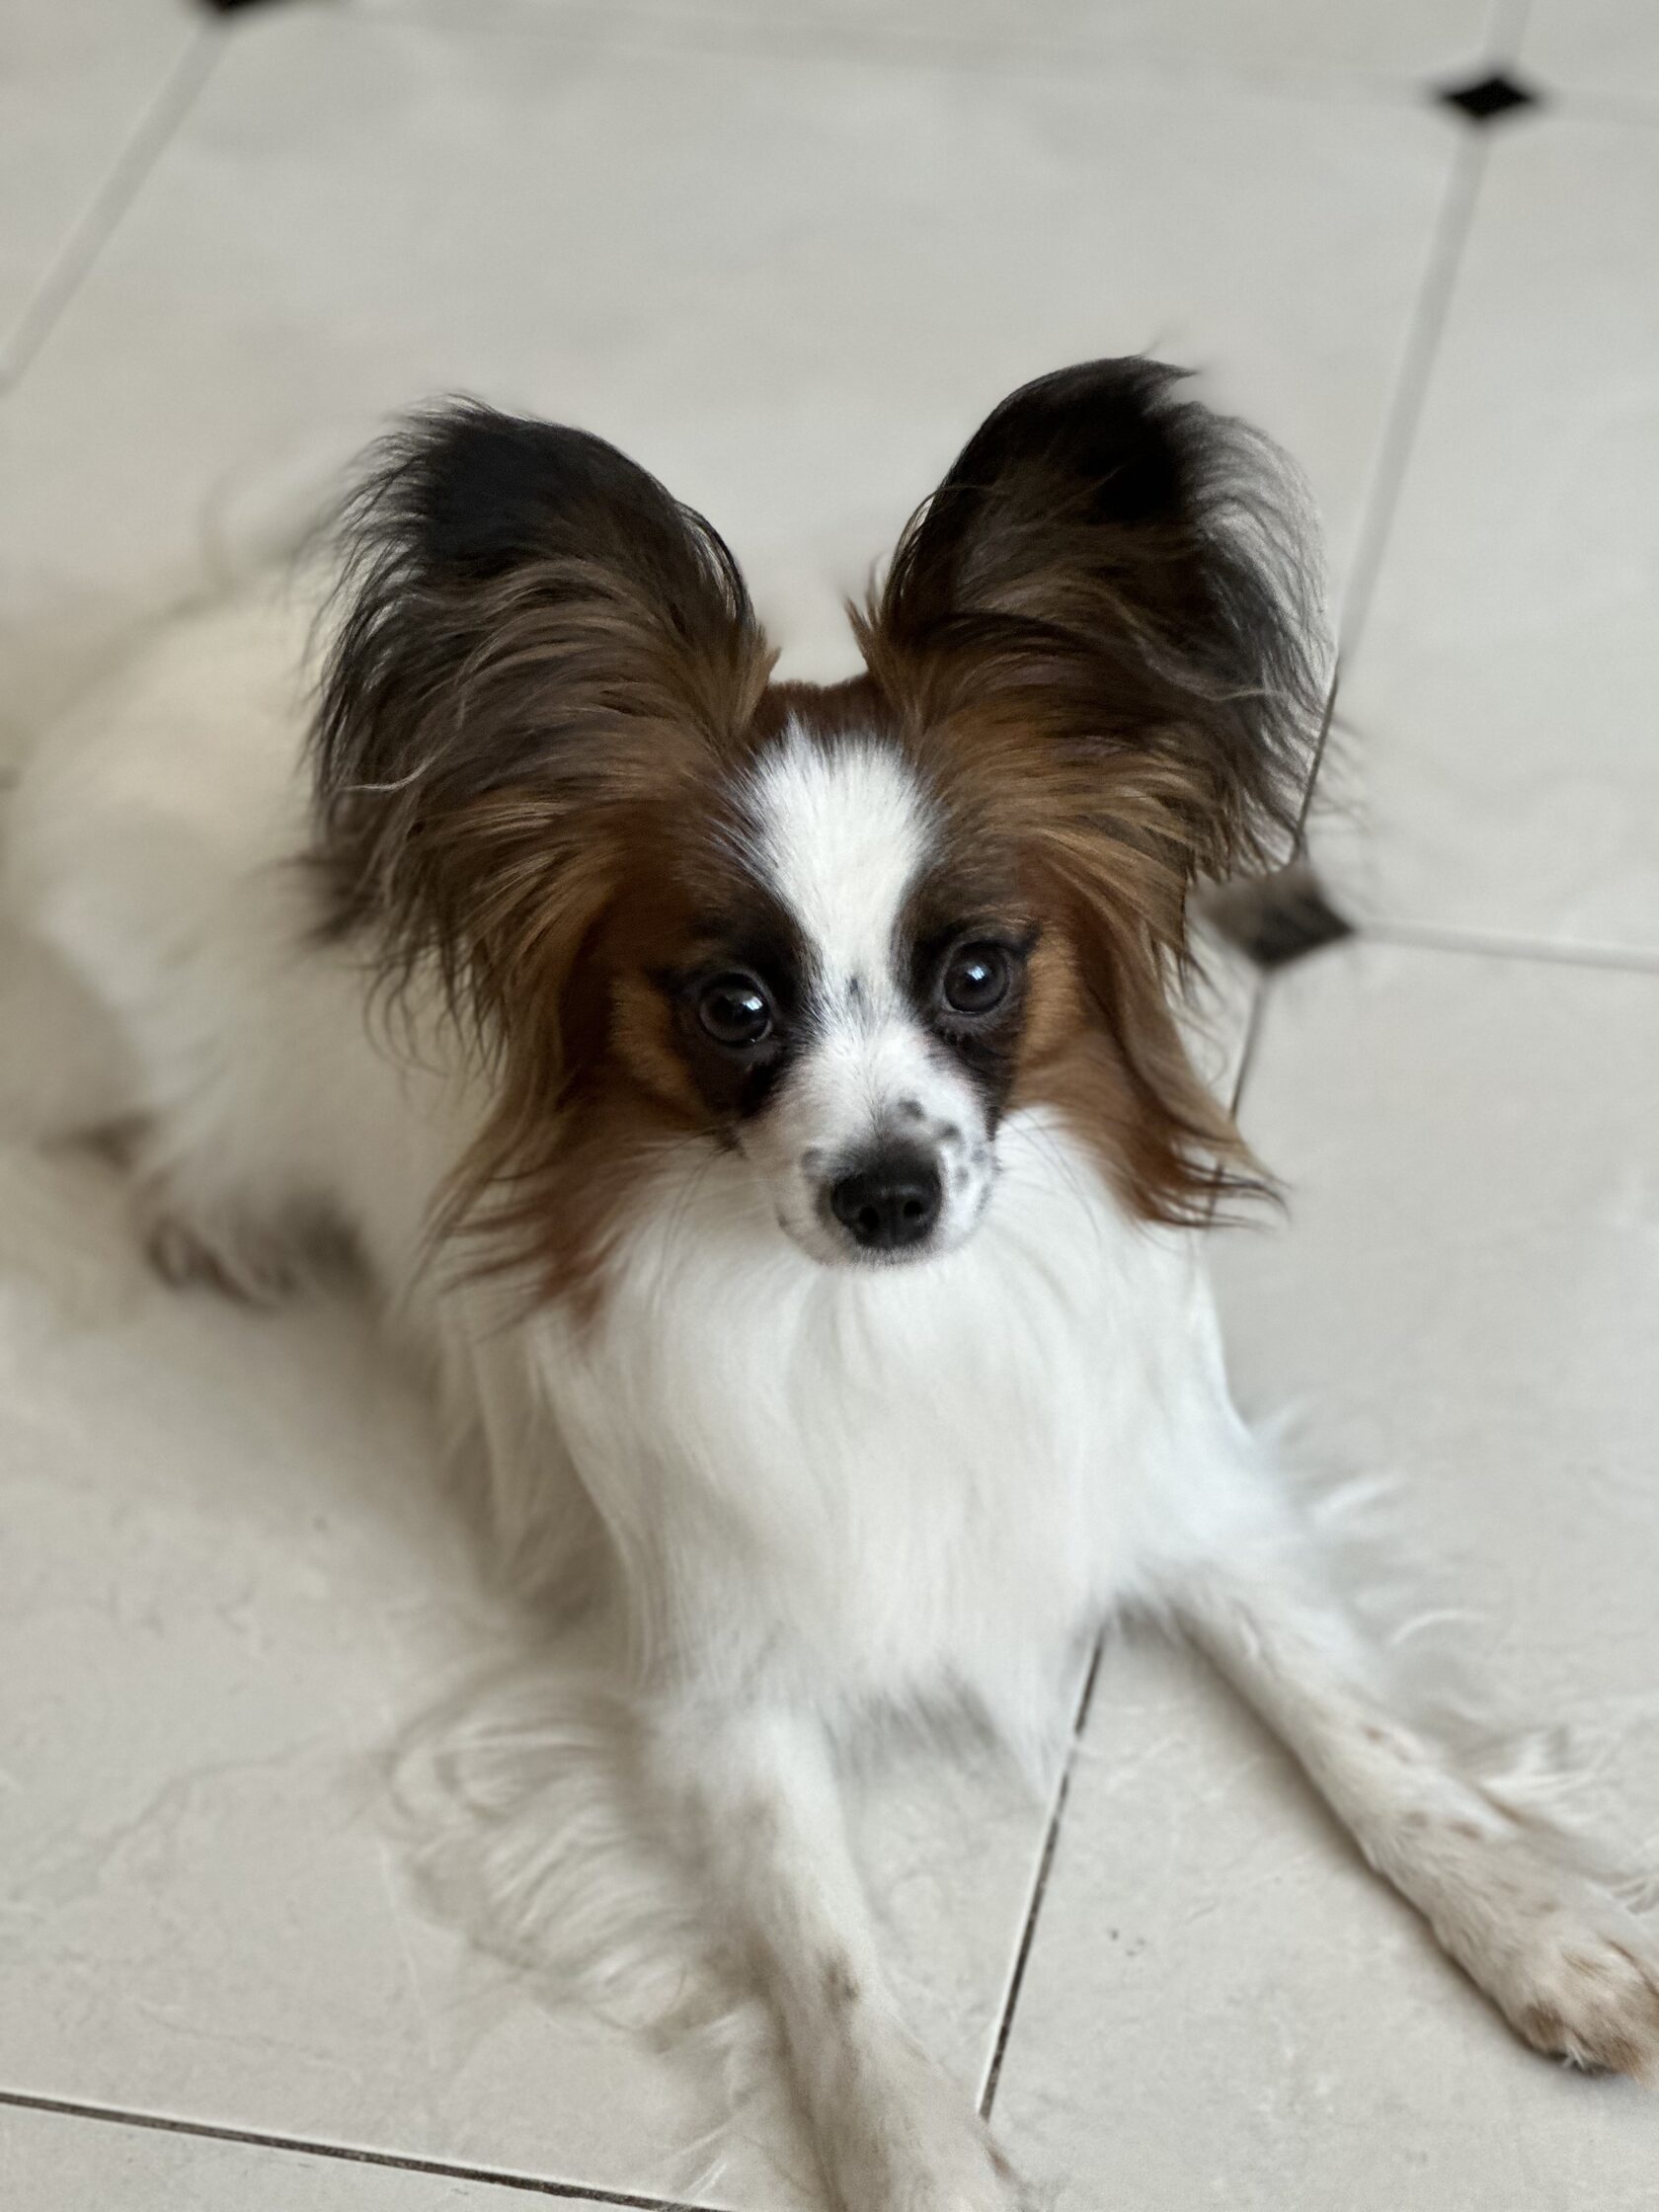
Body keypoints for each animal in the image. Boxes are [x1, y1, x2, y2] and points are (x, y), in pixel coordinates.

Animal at [8, 359, 1656, 2208]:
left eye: (978, 974)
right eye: (732, 1004)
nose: (887, 1194)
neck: (892, 1326)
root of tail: (194, 627)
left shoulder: (1192, 1501)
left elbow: (1369, 1741)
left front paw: (1536, 1924)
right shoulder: (721, 1694)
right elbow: (828, 1955)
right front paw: (920, 2157)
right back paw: (206, 1213)